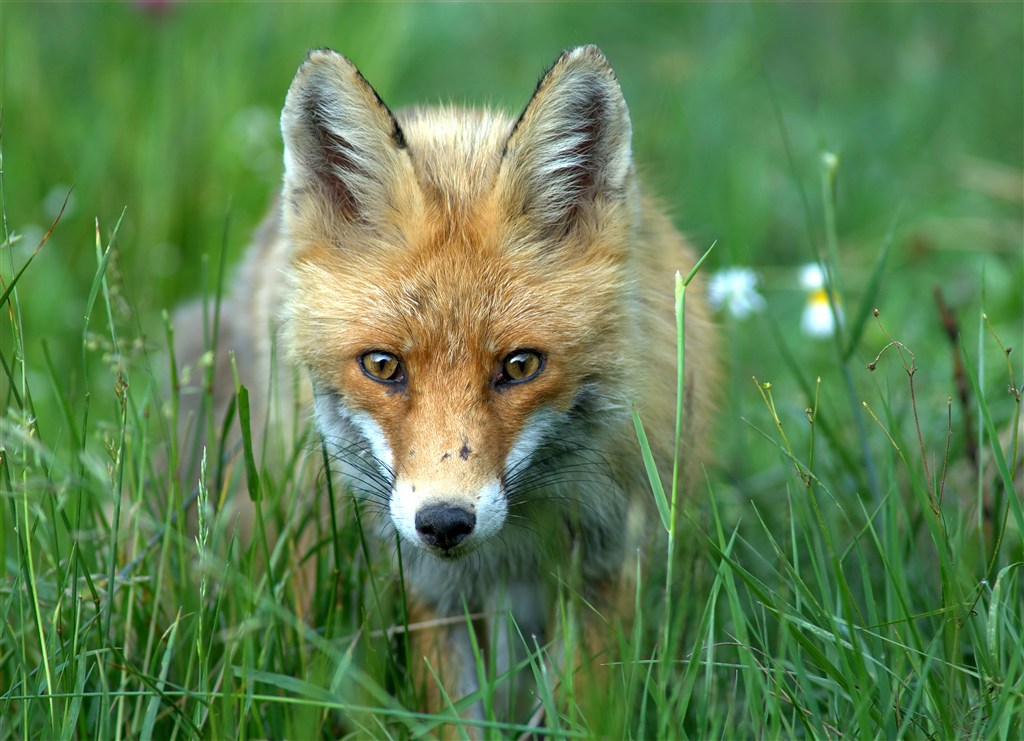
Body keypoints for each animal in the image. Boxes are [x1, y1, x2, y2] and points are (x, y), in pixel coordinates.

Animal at [172, 46, 716, 728]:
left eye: (520, 366)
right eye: (382, 366)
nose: (444, 522)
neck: (513, 546)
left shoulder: (608, 561)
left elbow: (580, 710)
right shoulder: (428, 586)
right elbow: (453, 718)